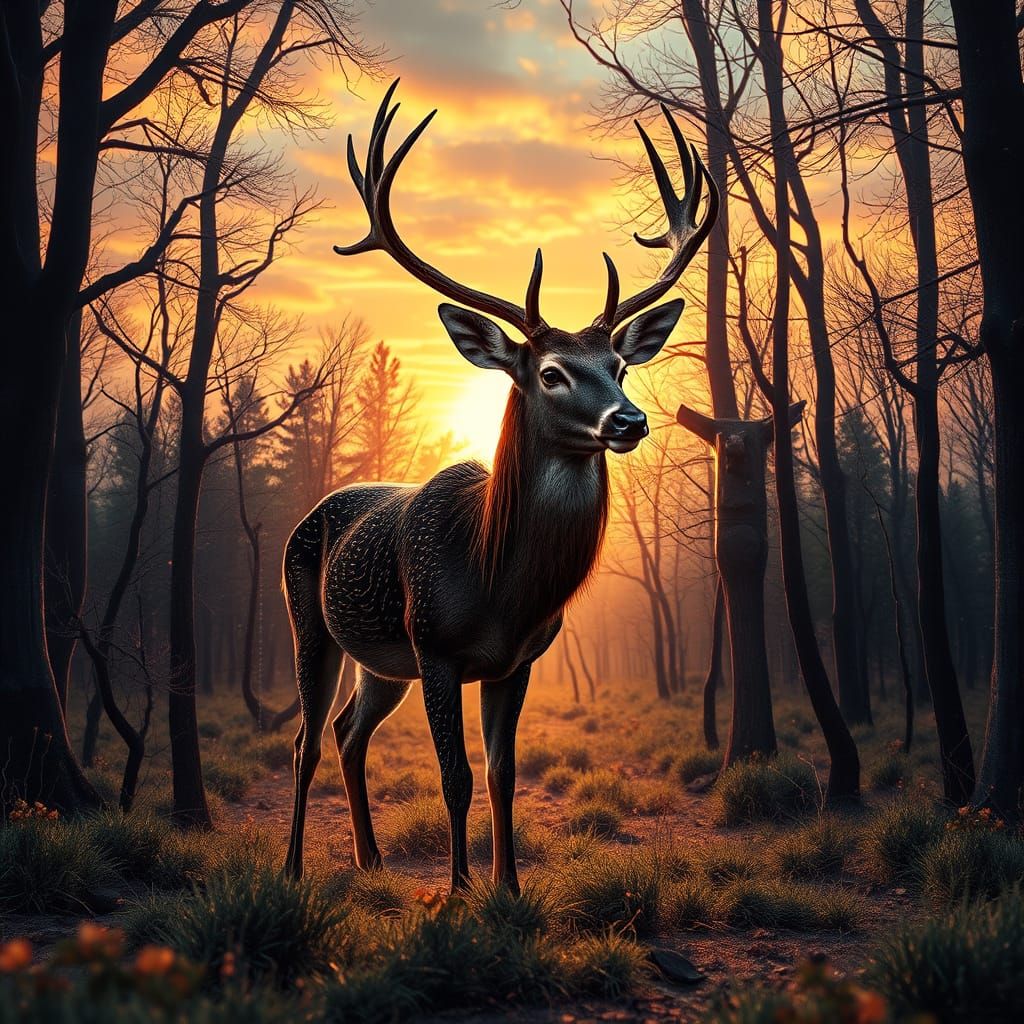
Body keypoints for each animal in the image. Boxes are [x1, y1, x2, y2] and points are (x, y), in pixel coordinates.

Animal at [284, 81, 718, 893]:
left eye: (621, 365)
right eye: (551, 372)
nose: (629, 419)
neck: (495, 582)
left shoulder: (517, 662)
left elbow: (502, 775)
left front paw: (508, 888)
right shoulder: (436, 647)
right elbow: (453, 777)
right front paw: (457, 891)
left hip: (380, 662)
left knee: (348, 731)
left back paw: (371, 858)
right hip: (311, 625)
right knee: (306, 739)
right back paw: (295, 867)